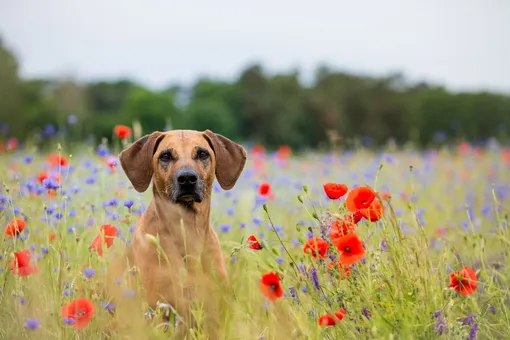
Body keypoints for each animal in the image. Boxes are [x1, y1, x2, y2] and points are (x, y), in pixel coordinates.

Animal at [106, 129, 247, 338]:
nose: (187, 178)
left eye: (202, 153)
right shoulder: (158, 312)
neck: (188, 232)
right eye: (165, 156)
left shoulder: (214, 316)